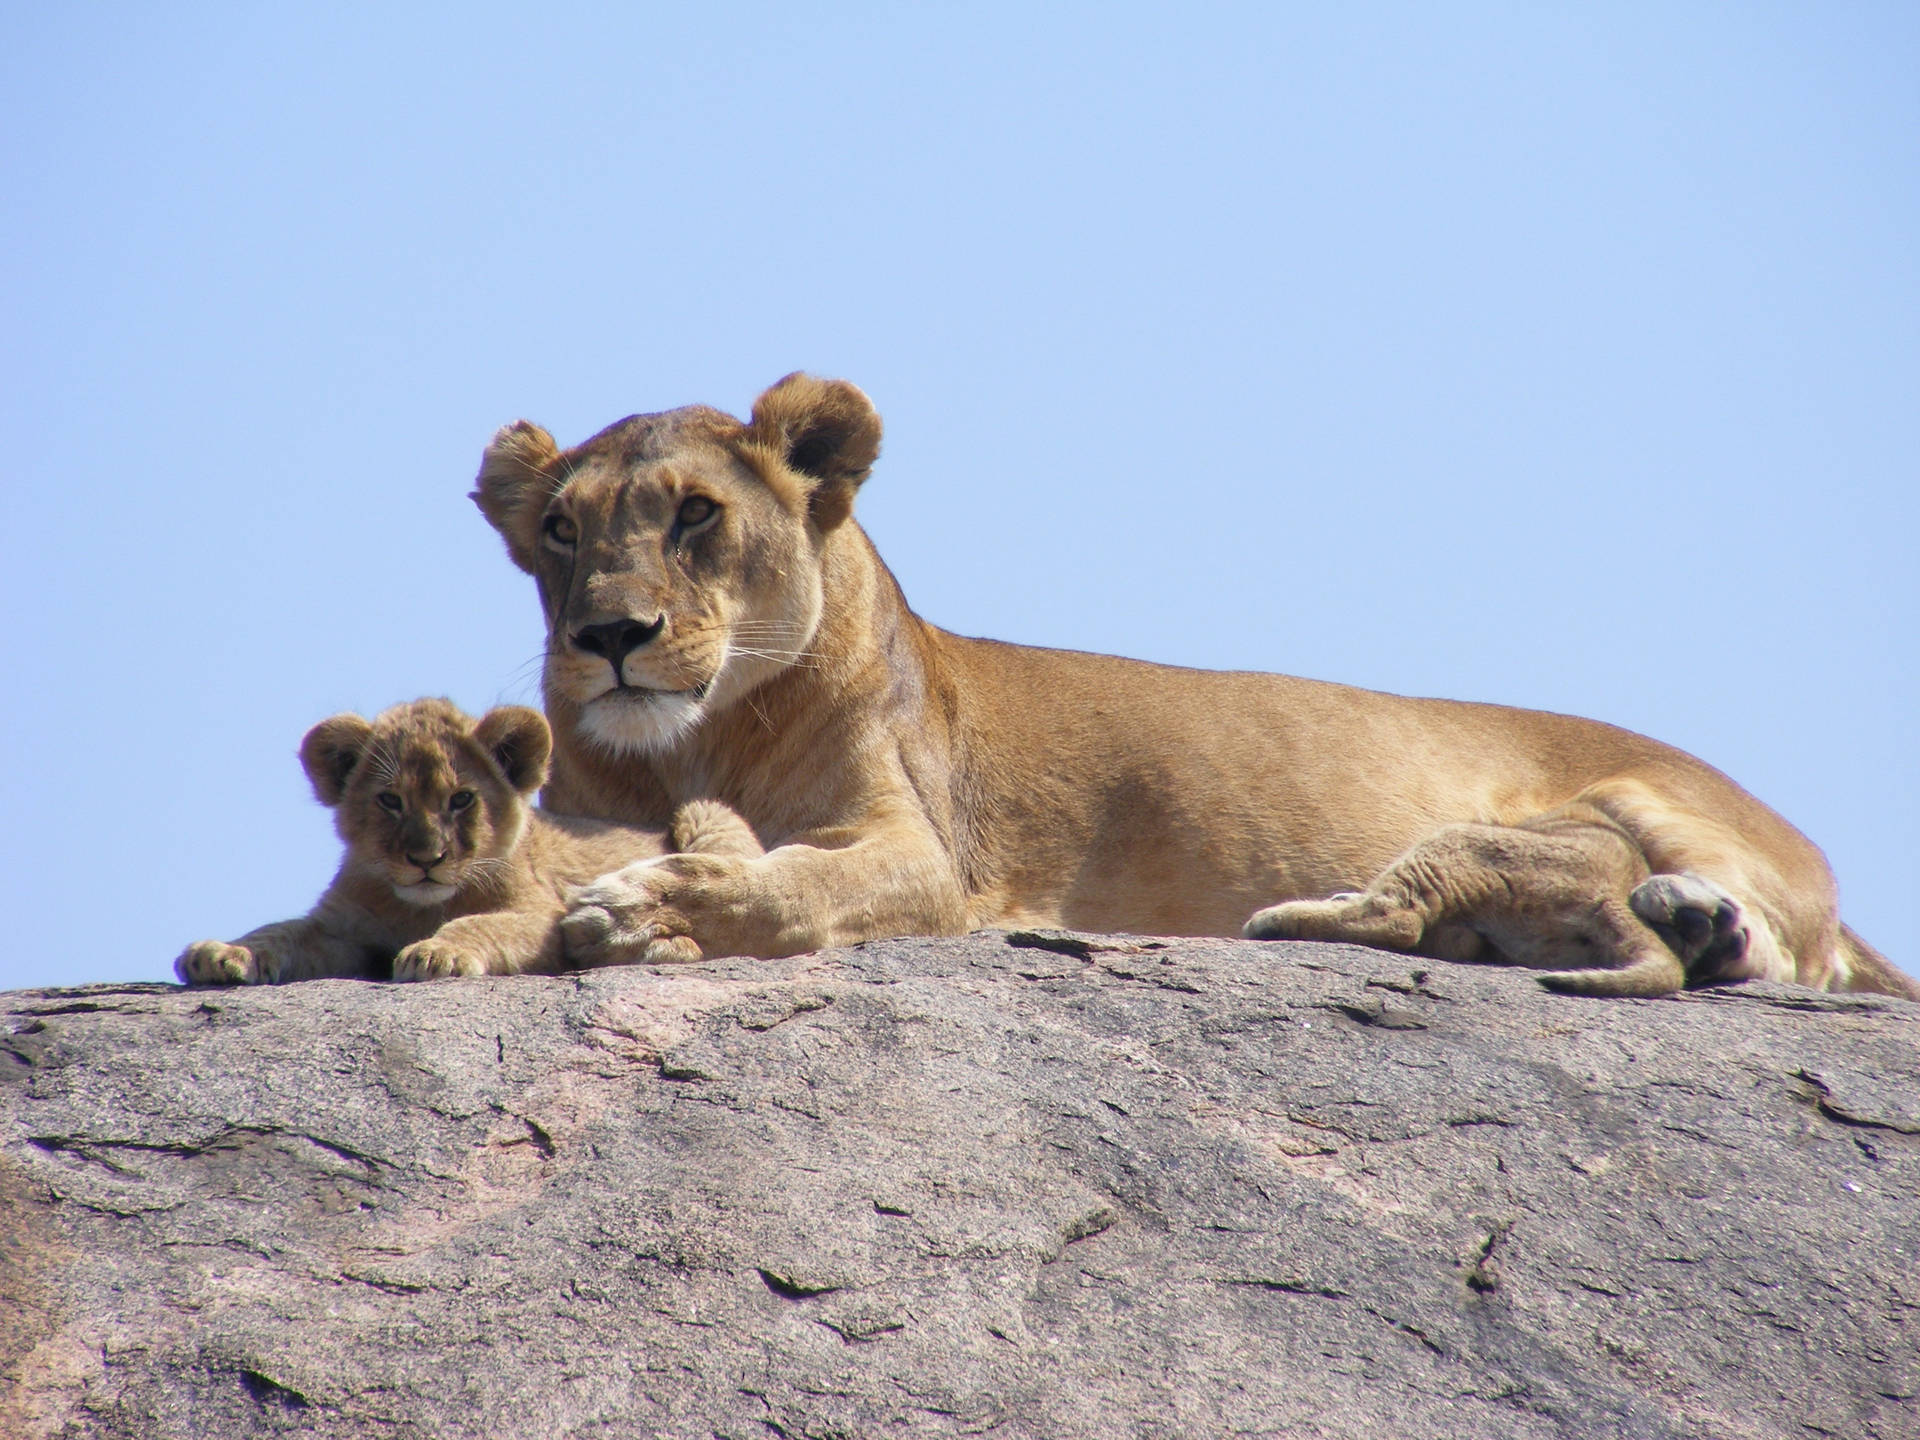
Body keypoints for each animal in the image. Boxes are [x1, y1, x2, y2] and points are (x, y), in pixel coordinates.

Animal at [174, 699, 761, 985]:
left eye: (460, 799)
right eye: (390, 801)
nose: (425, 859)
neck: (418, 906)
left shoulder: (544, 917)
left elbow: (481, 923)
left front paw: (437, 952)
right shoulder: (343, 931)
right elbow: (280, 931)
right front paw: (221, 953)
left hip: (704, 815)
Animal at [469, 374, 1913, 1001]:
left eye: (696, 514)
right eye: (564, 530)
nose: (609, 633)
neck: (693, 746)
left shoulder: (924, 856)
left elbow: (794, 889)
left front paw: (653, 908)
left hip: (1662, 802)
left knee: (1794, 941)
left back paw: (1708, 926)